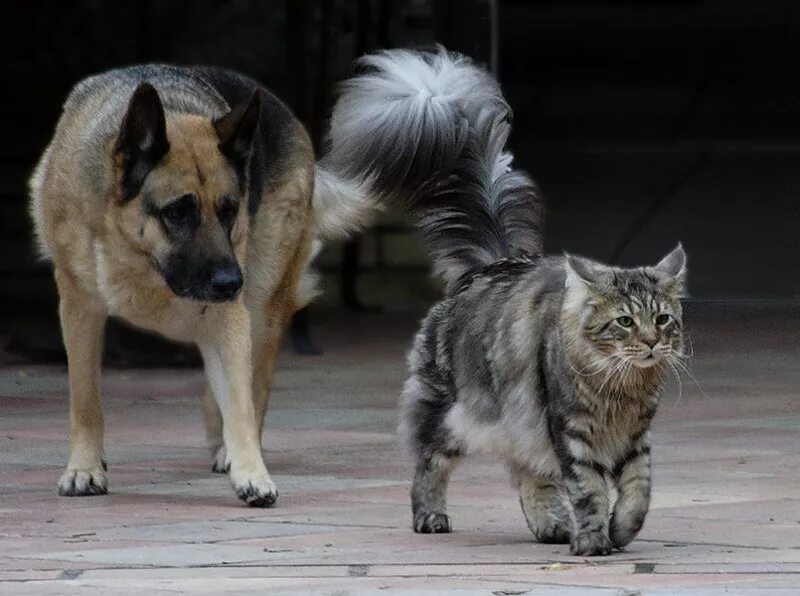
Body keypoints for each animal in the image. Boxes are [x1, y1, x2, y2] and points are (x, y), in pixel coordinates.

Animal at [30, 65, 376, 506]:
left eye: (229, 210)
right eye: (178, 212)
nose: (231, 283)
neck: (142, 260)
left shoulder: (229, 314)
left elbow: (241, 403)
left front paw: (251, 472)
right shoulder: (80, 308)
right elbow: (85, 398)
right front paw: (85, 468)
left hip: (260, 307)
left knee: (254, 382)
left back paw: (231, 450)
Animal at [324, 49, 688, 556]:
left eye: (662, 318)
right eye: (624, 322)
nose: (653, 342)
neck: (620, 390)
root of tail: (490, 264)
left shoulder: (635, 440)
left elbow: (639, 493)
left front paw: (619, 532)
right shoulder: (572, 435)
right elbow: (590, 491)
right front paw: (593, 542)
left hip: (517, 420)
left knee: (526, 472)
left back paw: (551, 527)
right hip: (454, 414)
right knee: (428, 463)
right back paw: (430, 518)